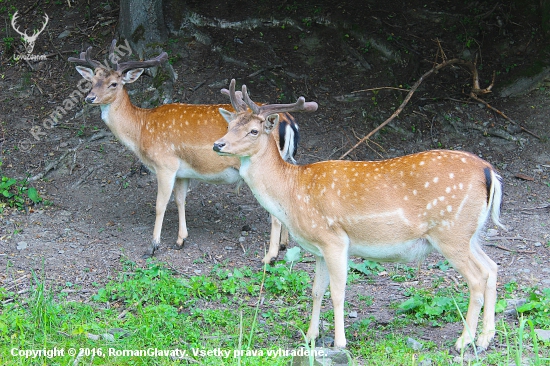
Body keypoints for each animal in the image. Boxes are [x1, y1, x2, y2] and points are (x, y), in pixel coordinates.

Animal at [69, 40, 302, 260]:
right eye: (92, 81)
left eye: (114, 83)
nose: (89, 98)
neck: (141, 129)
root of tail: (288, 120)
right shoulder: (182, 172)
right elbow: (180, 201)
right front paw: (181, 240)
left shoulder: (165, 164)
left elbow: (160, 204)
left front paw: (153, 246)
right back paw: (284, 244)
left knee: (274, 210)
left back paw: (273, 254)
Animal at [213, 81, 506, 352]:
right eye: (230, 125)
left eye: (253, 130)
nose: (218, 144)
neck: (292, 192)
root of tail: (489, 171)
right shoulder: (318, 248)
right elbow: (316, 290)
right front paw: (310, 337)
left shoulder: (334, 240)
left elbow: (337, 291)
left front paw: (340, 342)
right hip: (469, 234)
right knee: (492, 267)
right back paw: (486, 338)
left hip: (450, 232)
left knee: (477, 279)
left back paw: (464, 341)